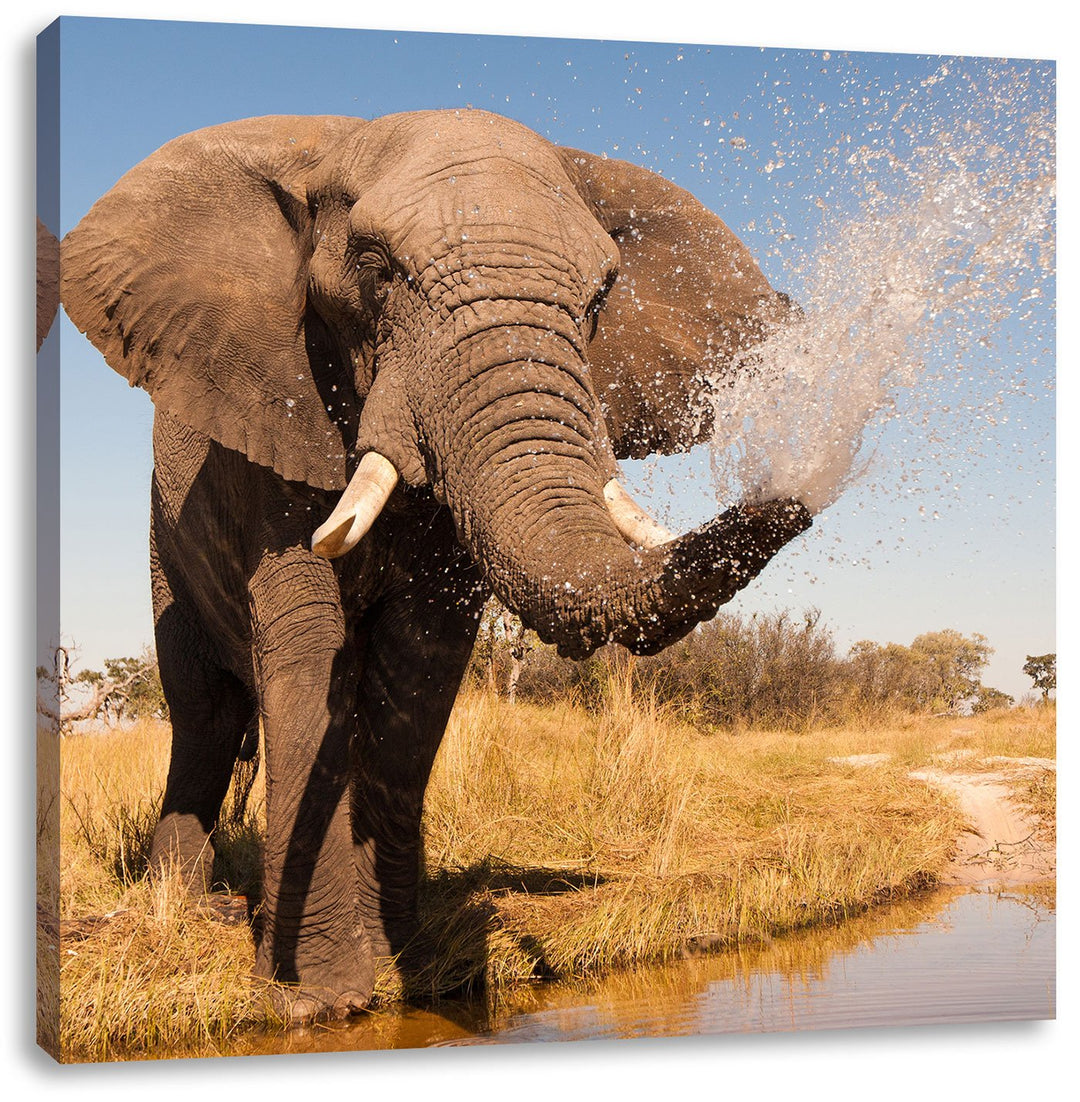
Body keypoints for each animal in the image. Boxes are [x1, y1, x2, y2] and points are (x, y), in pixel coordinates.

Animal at [60, 109, 811, 1020]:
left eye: (600, 296)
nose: (805, 477)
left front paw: (405, 964)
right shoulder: (275, 412)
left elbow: (420, 663)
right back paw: (182, 903)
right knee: (202, 712)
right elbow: (307, 645)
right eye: (375, 271)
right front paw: (318, 1000)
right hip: (164, 542)